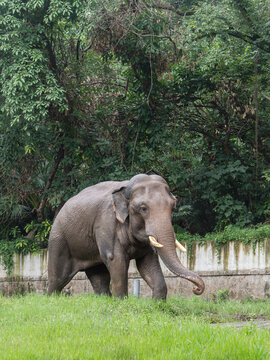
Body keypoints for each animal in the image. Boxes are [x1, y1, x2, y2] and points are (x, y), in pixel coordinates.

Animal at [48, 174, 205, 298]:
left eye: (173, 206)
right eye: (143, 208)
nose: (196, 289)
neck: (126, 188)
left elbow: (147, 263)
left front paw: (158, 305)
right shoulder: (106, 224)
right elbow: (116, 260)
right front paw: (121, 301)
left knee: (99, 276)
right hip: (59, 239)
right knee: (58, 279)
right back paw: (52, 298)